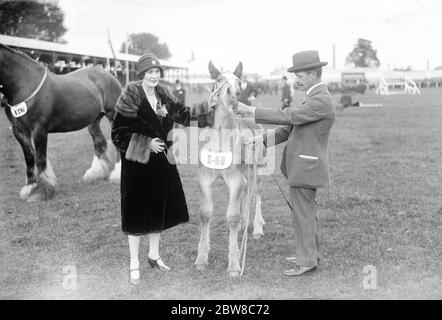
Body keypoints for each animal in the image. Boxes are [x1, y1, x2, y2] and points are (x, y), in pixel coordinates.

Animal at [0, 43, 121, 201]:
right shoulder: (19, 131)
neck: (25, 83)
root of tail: (110, 75)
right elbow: (29, 158)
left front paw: (42, 191)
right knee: (99, 142)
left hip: (113, 115)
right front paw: (30, 187)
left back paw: (117, 175)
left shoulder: (39, 130)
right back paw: (95, 173)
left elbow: (40, 159)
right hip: (94, 120)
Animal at [193, 61, 266, 276]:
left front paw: (234, 264)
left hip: (257, 169)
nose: (233, 95)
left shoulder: (234, 180)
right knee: (245, 193)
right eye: (218, 79)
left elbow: (231, 217)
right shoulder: (204, 179)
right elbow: (205, 214)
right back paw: (243, 225)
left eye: (239, 81)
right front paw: (201, 258)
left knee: (256, 193)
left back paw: (257, 228)